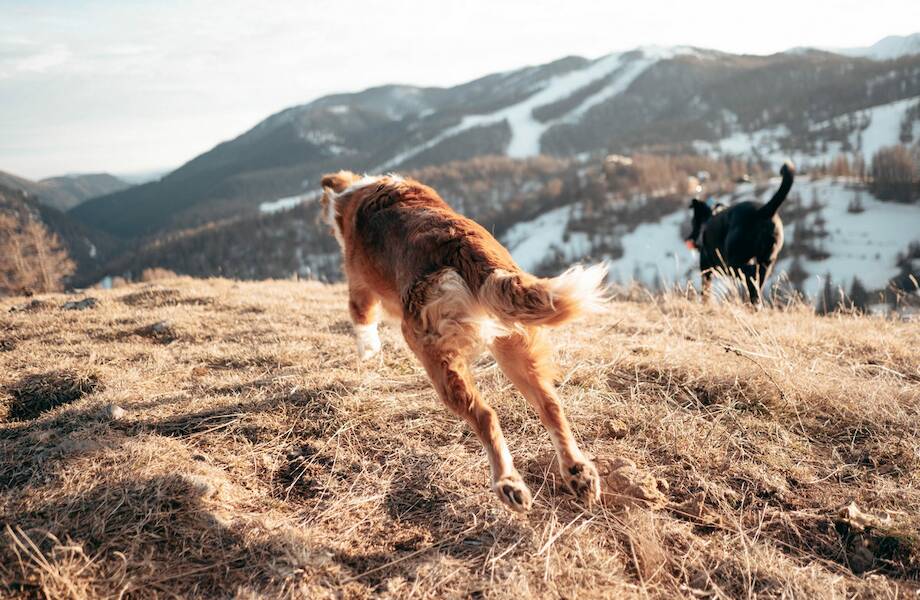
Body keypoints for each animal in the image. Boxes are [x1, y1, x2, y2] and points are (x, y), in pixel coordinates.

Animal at [320, 171, 608, 512]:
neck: (355, 194)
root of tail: (462, 246)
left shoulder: (359, 286)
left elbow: (362, 323)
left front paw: (368, 355)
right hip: (515, 342)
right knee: (550, 405)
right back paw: (579, 473)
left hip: (435, 354)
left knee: (485, 415)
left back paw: (508, 485)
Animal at [688, 162, 796, 304]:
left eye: (693, 222)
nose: (690, 238)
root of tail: (762, 211)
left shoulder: (705, 267)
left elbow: (705, 289)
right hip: (767, 261)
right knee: (756, 281)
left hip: (734, 261)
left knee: (750, 274)